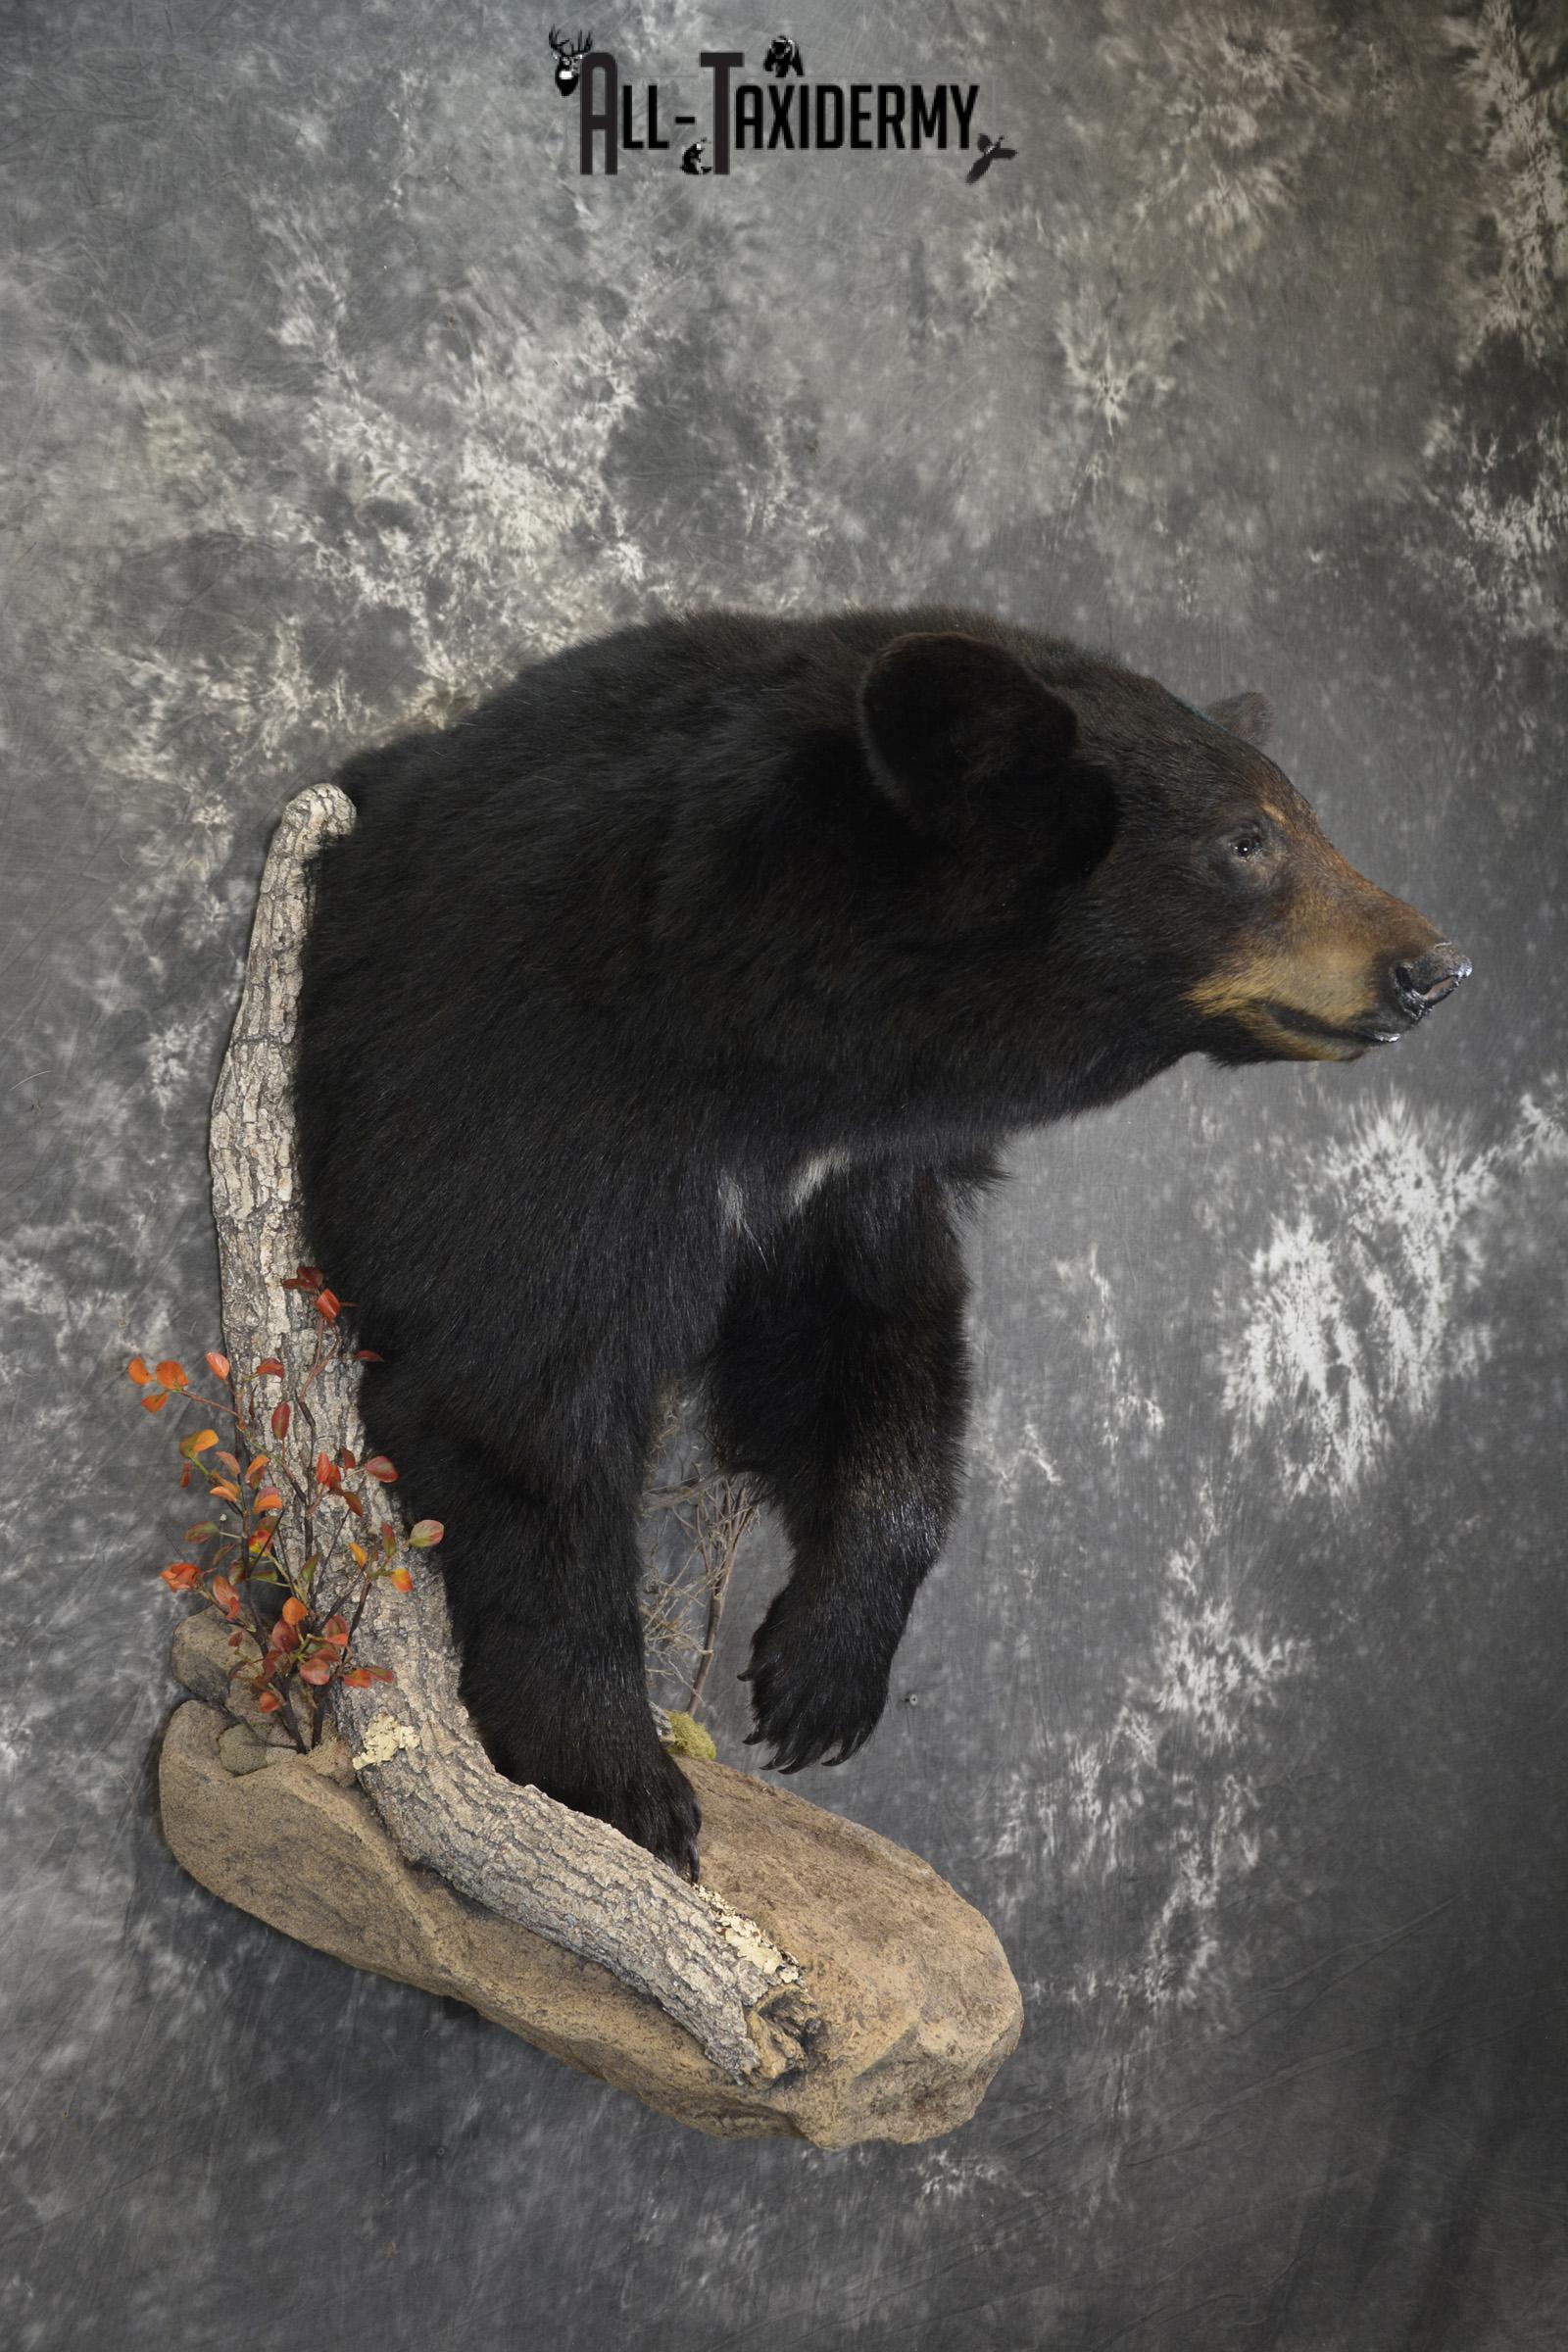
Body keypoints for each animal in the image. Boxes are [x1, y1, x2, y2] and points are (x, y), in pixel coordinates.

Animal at [293, 606, 1470, 1880]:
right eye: (1245, 841)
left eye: (1302, 819)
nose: (1433, 967)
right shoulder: (548, 1087)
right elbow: (519, 1380)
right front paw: (616, 1775)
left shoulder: (850, 1178)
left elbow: (872, 1350)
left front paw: (822, 1671)